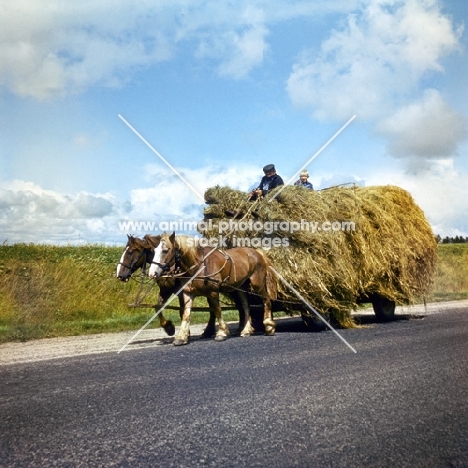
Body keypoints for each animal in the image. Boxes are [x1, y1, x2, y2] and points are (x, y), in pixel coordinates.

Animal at [148, 232, 276, 346]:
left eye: (166, 250)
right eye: (154, 251)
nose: (152, 273)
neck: (198, 266)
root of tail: (257, 253)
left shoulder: (213, 292)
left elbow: (217, 310)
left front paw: (222, 332)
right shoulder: (188, 293)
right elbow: (186, 314)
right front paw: (181, 337)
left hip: (257, 284)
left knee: (266, 300)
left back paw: (269, 327)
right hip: (240, 287)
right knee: (246, 306)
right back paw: (246, 330)